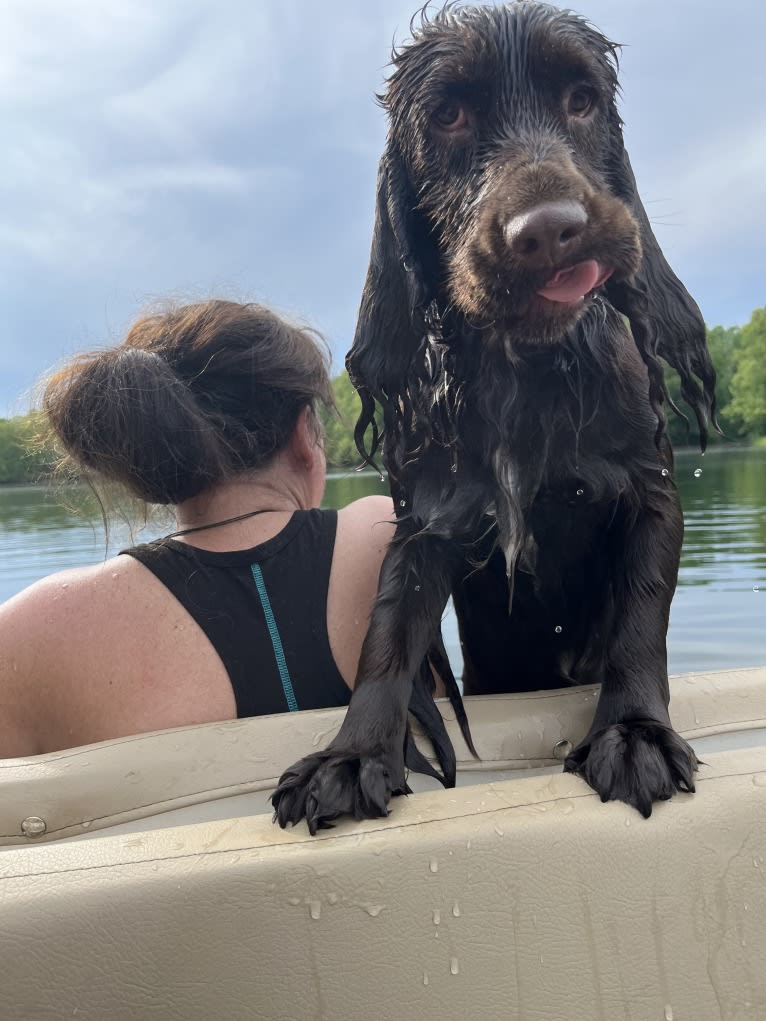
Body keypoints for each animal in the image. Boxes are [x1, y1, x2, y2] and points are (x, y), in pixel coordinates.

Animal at [273, 0, 719, 833]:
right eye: (447, 115)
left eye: (581, 100)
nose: (549, 230)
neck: (527, 373)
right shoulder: (429, 520)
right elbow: (388, 634)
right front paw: (351, 755)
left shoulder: (649, 492)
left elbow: (641, 616)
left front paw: (634, 732)